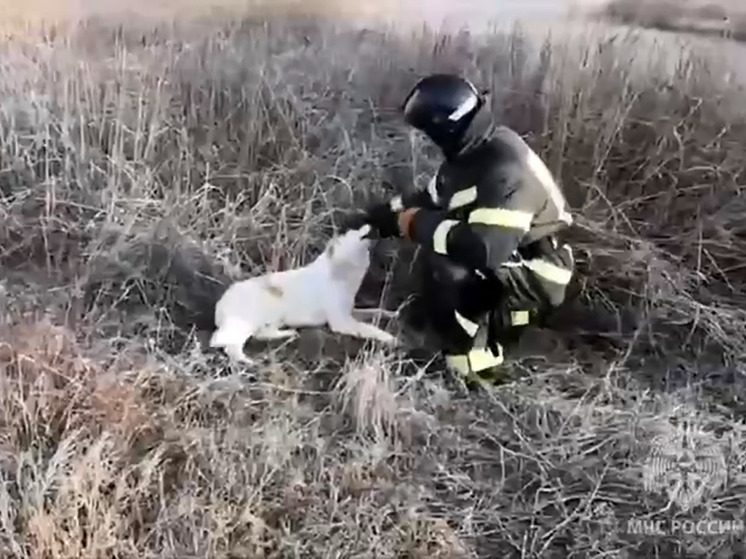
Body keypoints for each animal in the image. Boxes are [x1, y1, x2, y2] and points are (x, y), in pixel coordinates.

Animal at [209, 225, 396, 366]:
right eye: (353, 231)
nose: (371, 225)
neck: (339, 269)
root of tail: (220, 306)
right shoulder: (341, 322)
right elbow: (370, 328)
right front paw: (391, 338)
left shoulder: (350, 311)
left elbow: (377, 311)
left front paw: (392, 314)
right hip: (260, 313)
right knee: (226, 343)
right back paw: (250, 362)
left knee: (259, 334)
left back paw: (289, 334)